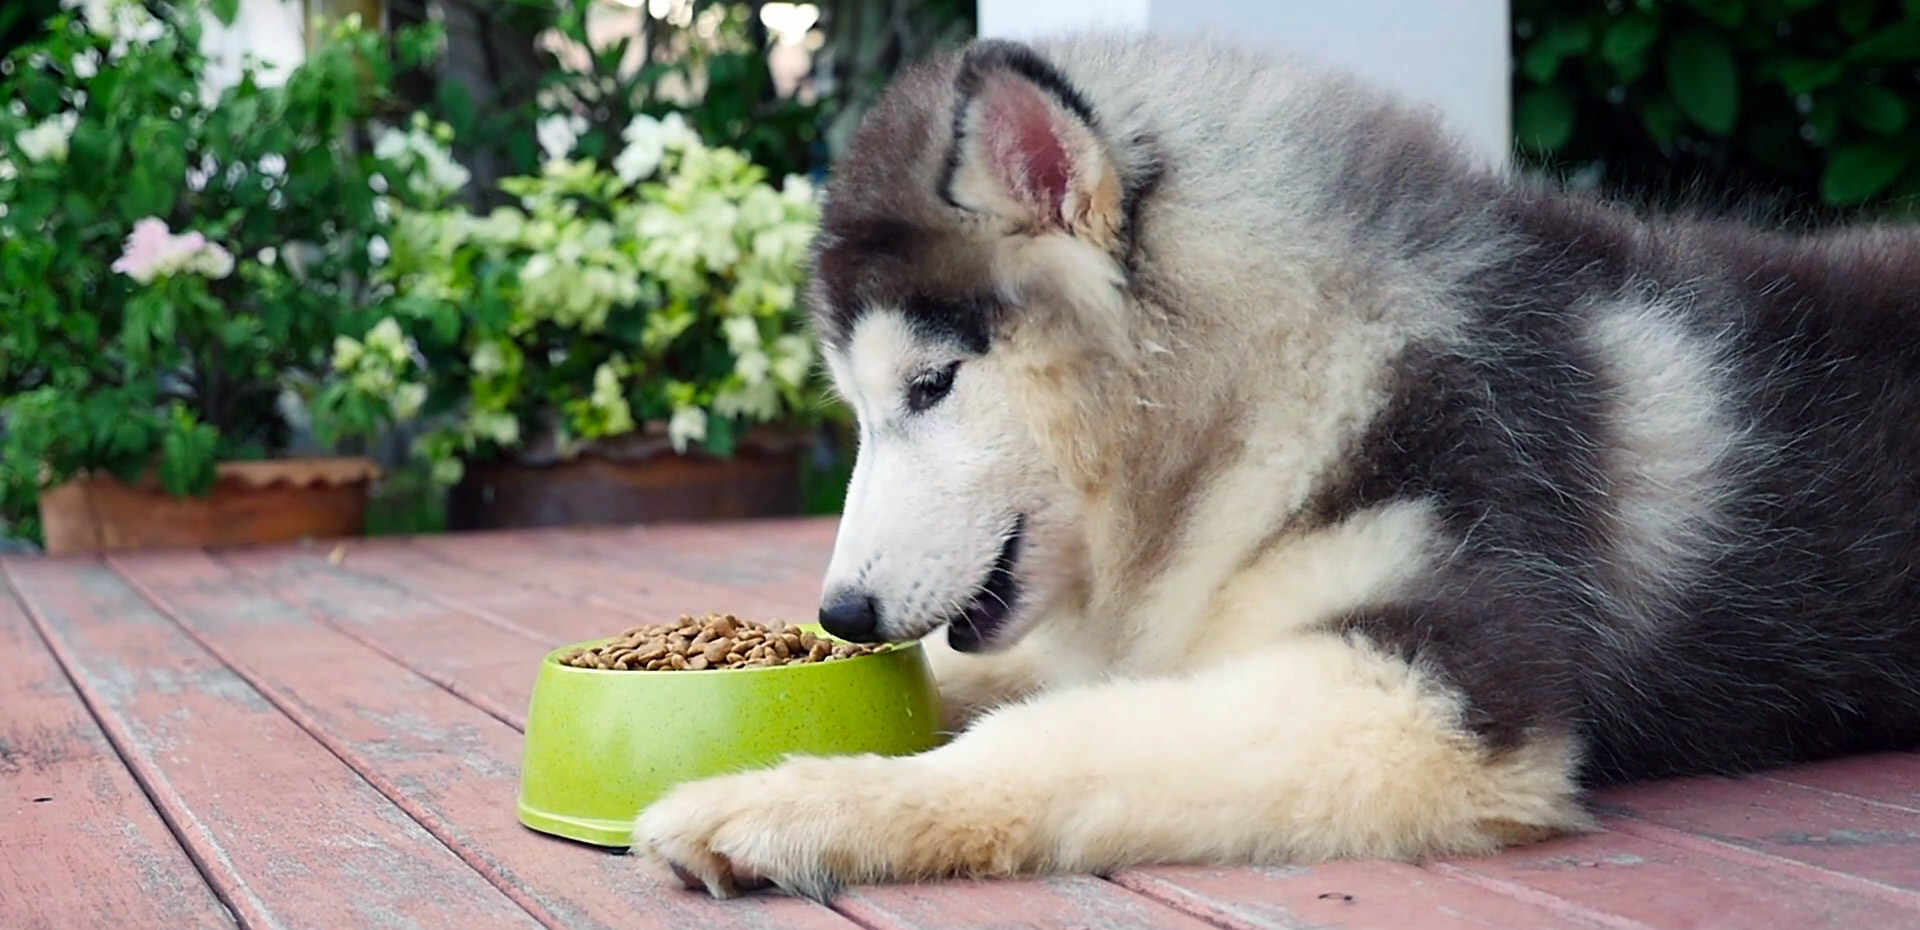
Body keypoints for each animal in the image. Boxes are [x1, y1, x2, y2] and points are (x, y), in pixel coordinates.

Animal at [629, 30, 1920, 899]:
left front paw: (792, 801)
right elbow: (987, 681)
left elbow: (1049, 738)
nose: (840, 612)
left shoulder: (1429, 698)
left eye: (931, 387)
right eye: (858, 404)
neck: (1286, 380)